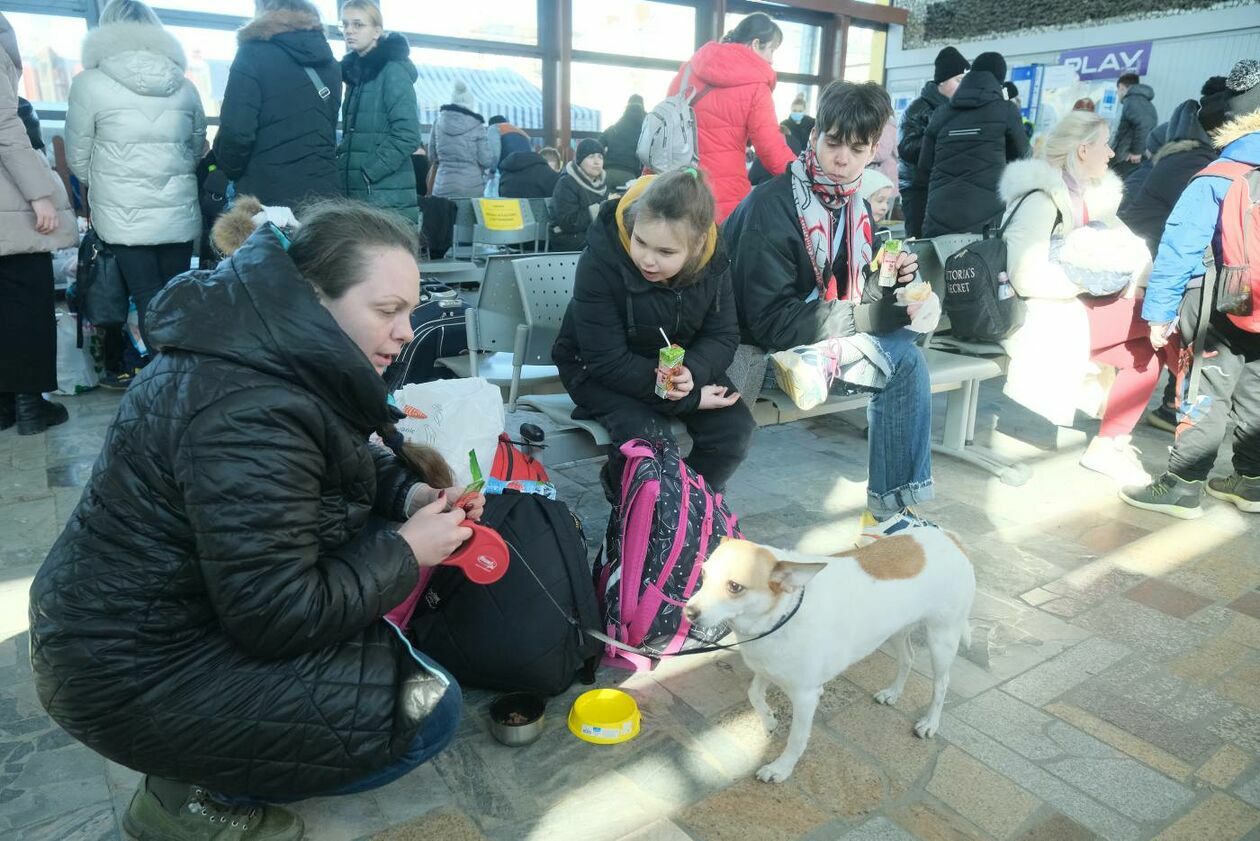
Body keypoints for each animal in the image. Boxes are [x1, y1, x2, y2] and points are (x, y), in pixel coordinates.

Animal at [690, 532, 972, 781]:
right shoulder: (767, 669)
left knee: (941, 684)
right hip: (894, 631)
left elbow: (796, 738)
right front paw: (769, 720)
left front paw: (781, 768)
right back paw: (893, 693)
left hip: (942, 639)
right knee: (908, 658)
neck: (784, 613)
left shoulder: (804, 697)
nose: (688, 612)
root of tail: (951, 537)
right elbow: (754, 694)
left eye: (734, 587)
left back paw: (930, 723)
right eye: (703, 574)